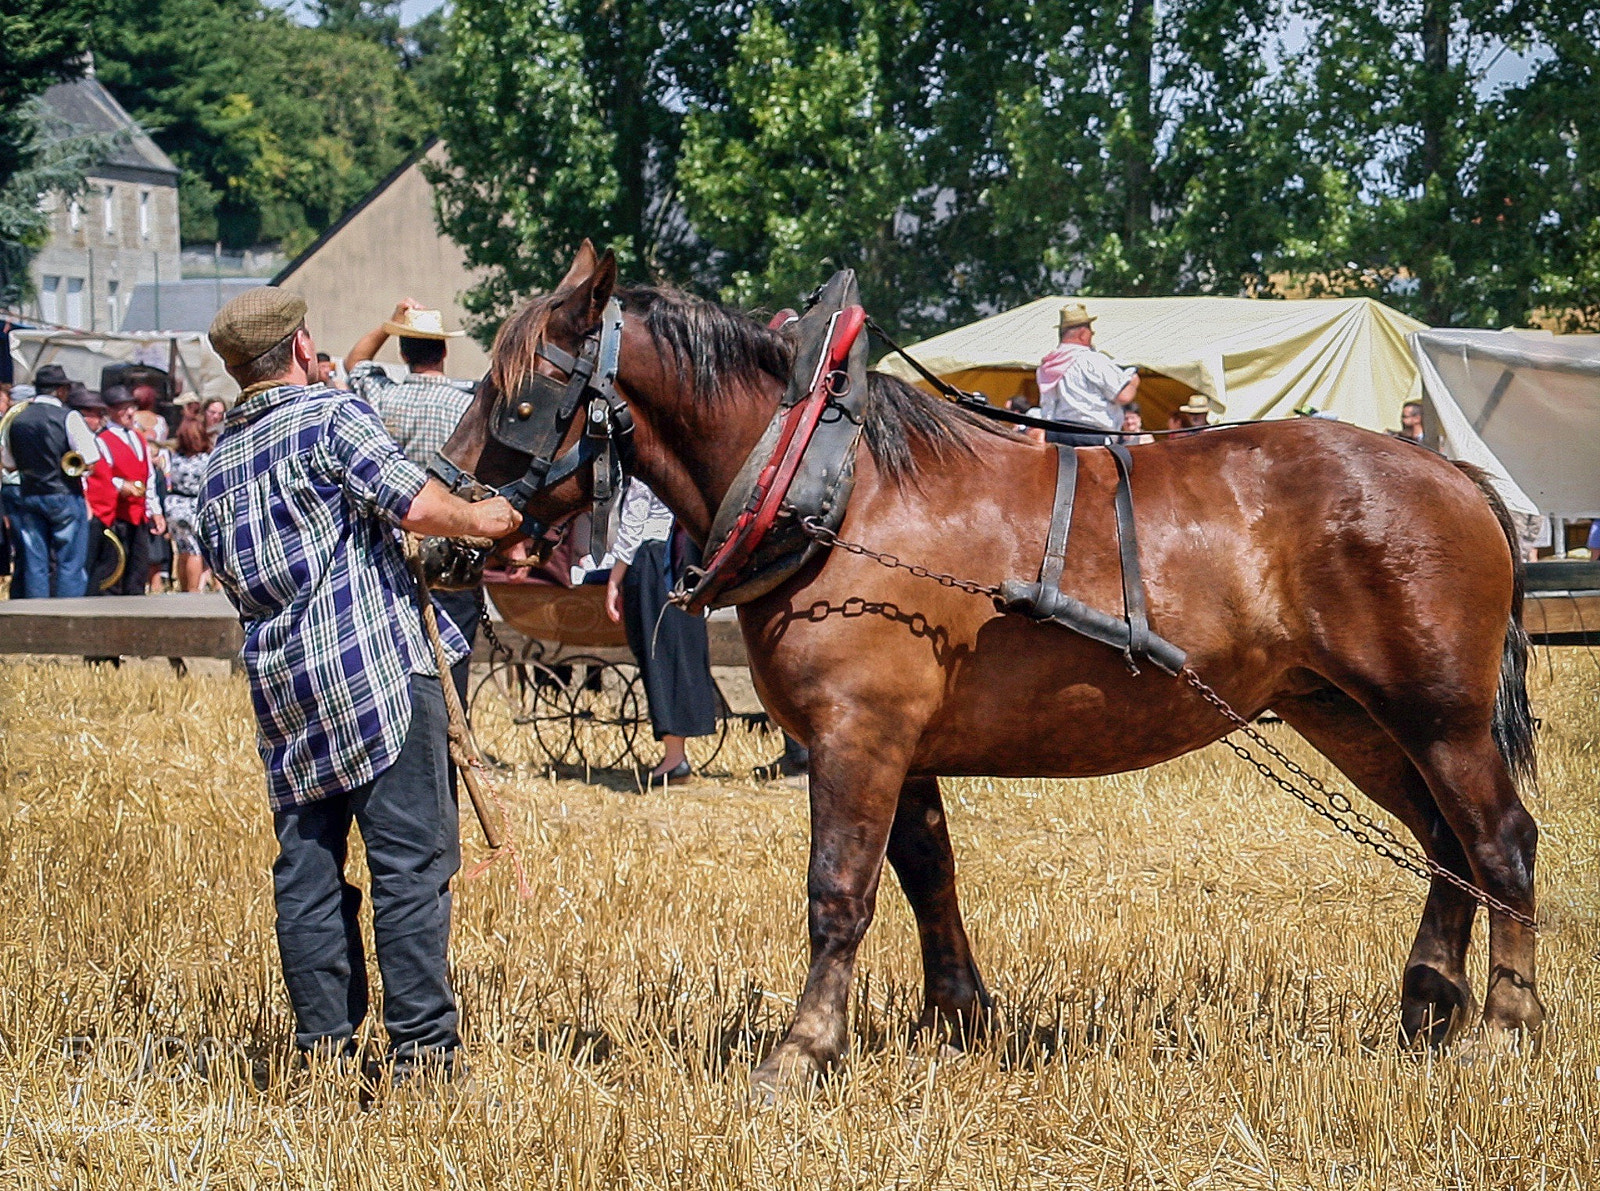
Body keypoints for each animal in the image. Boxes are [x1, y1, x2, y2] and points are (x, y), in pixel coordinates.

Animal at [439, 243, 1542, 1094]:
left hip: (1437, 713)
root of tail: (1450, 472)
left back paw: (1503, 1024)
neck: (836, 490)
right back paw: (1427, 1000)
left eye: (518, 397)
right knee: (1443, 841)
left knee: (1499, 840)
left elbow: (838, 889)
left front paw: (802, 1050)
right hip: (1346, 712)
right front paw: (954, 1017)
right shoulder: (903, 745)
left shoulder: (857, 733)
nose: (440, 521)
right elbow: (927, 872)